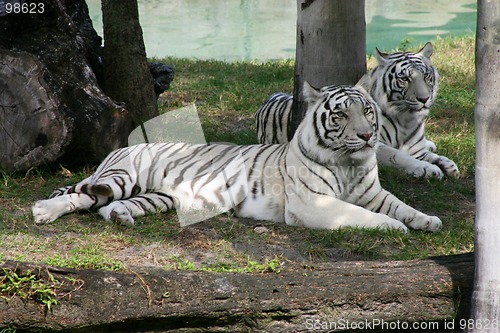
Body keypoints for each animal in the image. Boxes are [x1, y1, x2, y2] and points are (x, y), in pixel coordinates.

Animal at [32, 82, 442, 232]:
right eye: (341, 115)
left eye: (368, 111)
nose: (368, 135)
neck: (348, 163)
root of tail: (123, 145)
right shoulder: (313, 203)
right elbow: (361, 216)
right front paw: (394, 227)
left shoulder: (373, 192)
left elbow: (400, 205)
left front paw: (427, 221)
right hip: (120, 176)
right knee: (82, 195)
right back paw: (43, 212)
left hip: (159, 196)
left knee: (106, 206)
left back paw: (120, 216)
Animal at [256, 43, 458, 180]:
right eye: (405, 79)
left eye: (426, 76)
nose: (424, 99)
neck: (406, 118)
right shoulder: (376, 145)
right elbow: (399, 156)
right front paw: (427, 168)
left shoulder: (417, 148)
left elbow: (434, 156)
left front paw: (450, 166)